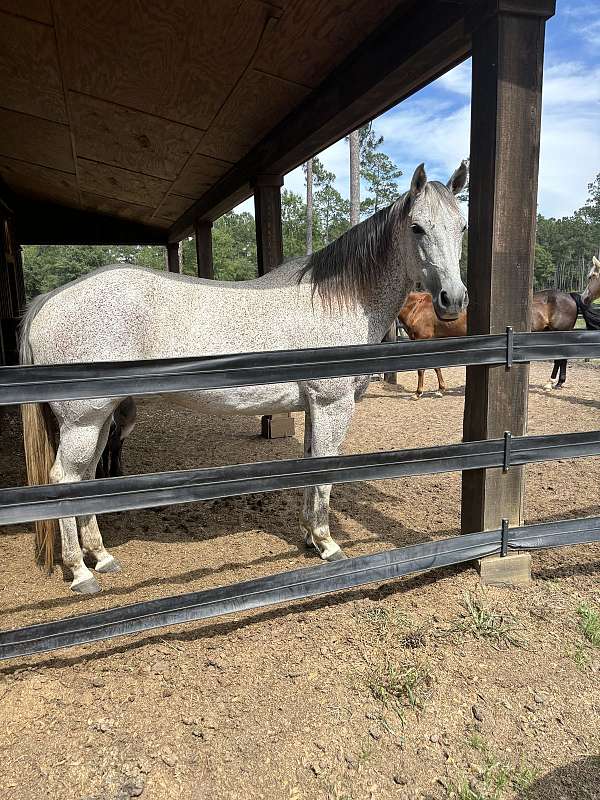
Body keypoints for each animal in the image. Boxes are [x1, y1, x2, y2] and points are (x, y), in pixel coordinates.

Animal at [19, 161, 468, 592]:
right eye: (417, 227)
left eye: (460, 226)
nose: (453, 300)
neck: (336, 301)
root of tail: (49, 300)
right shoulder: (332, 405)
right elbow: (324, 472)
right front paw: (327, 543)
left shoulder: (313, 408)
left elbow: (309, 466)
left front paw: (308, 536)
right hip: (83, 420)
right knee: (64, 480)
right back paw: (81, 573)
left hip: (99, 419)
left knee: (85, 479)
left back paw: (102, 557)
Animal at [400, 258, 600, 398]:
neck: (417, 306)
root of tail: (569, 296)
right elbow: (436, 367)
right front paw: (440, 389)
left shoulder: (422, 340)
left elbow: (422, 368)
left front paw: (418, 393)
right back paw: (557, 383)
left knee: (560, 359)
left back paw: (551, 383)